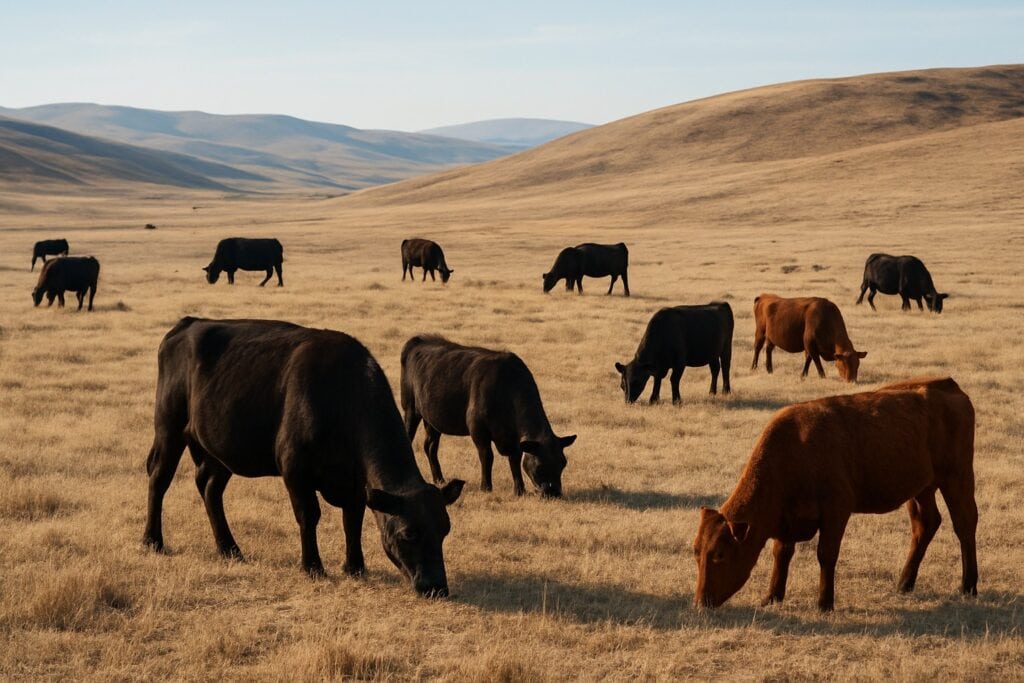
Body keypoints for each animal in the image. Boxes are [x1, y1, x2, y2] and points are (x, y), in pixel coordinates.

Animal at [142, 318, 465, 597]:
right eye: (409, 534)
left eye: (445, 529)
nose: (436, 587)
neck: (341, 397)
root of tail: (188, 323)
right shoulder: (295, 470)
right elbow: (309, 515)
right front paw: (313, 567)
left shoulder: (355, 483)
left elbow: (353, 520)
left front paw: (355, 566)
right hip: (168, 427)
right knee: (159, 479)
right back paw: (152, 540)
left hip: (218, 451)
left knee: (209, 487)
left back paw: (229, 548)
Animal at [400, 335, 576, 498]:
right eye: (539, 465)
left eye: (563, 463)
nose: (554, 492)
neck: (506, 386)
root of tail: (417, 340)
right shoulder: (478, 430)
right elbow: (487, 456)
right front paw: (486, 487)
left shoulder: (513, 439)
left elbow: (515, 460)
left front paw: (519, 490)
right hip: (410, 409)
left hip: (432, 419)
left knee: (430, 446)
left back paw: (439, 479)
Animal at [693, 377, 977, 612]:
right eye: (696, 553)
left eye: (719, 554)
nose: (700, 602)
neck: (794, 452)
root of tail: (947, 384)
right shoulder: (786, 520)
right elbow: (781, 553)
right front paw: (772, 596)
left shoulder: (836, 511)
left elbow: (826, 554)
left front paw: (825, 603)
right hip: (922, 488)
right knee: (926, 524)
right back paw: (905, 582)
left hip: (957, 475)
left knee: (965, 523)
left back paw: (969, 585)